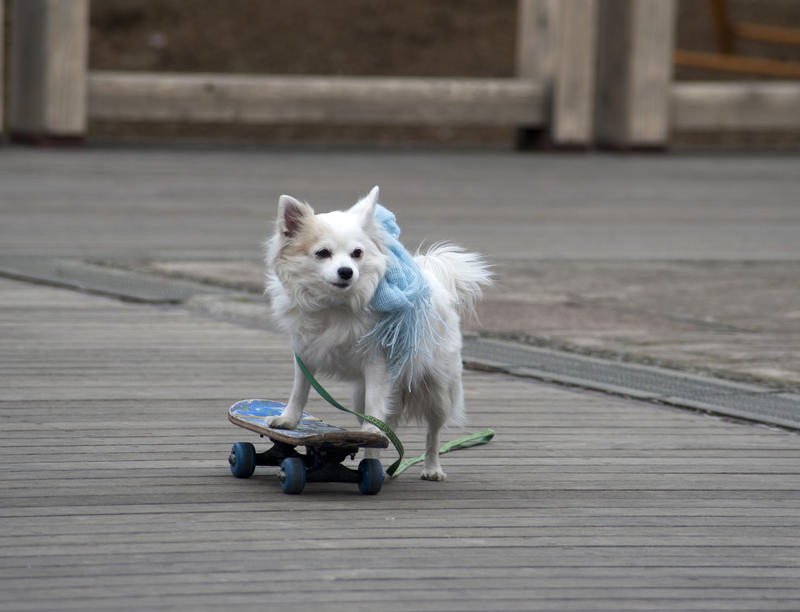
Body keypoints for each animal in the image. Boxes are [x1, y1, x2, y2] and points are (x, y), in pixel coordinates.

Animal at [264, 184, 488, 480]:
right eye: (323, 253)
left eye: (357, 253)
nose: (346, 271)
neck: (336, 304)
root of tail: (434, 280)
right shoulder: (304, 352)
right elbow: (299, 390)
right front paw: (288, 420)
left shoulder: (377, 364)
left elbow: (376, 410)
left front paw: (372, 431)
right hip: (359, 395)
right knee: (379, 433)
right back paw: (376, 467)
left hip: (437, 389)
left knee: (433, 433)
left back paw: (431, 468)